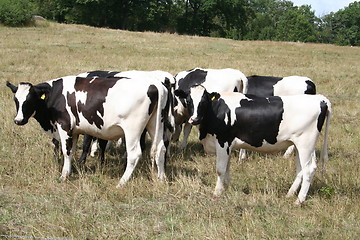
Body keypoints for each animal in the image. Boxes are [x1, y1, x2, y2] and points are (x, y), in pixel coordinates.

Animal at [5, 74, 174, 186]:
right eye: (16, 100)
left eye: (30, 100)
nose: (18, 120)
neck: (56, 95)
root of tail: (155, 84)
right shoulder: (74, 131)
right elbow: (72, 151)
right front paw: (69, 171)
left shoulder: (64, 125)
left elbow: (66, 151)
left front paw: (63, 176)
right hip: (155, 125)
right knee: (160, 149)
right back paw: (162, 178)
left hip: (133, 129)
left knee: (134, 154)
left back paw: (122, 182)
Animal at [175, 85, 332, 205]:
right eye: (188, 100)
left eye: (204, 101)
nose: (194, 119)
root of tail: (320, 99)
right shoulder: (228, 146)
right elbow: (227, 168)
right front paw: (226, 187)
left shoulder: (223, 142)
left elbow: (220, 169)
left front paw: (217, 193)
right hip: (301, 145)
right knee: (301, 169)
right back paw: (290, 193)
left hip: (305, 144)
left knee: (308, 170)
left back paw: (299, 200)